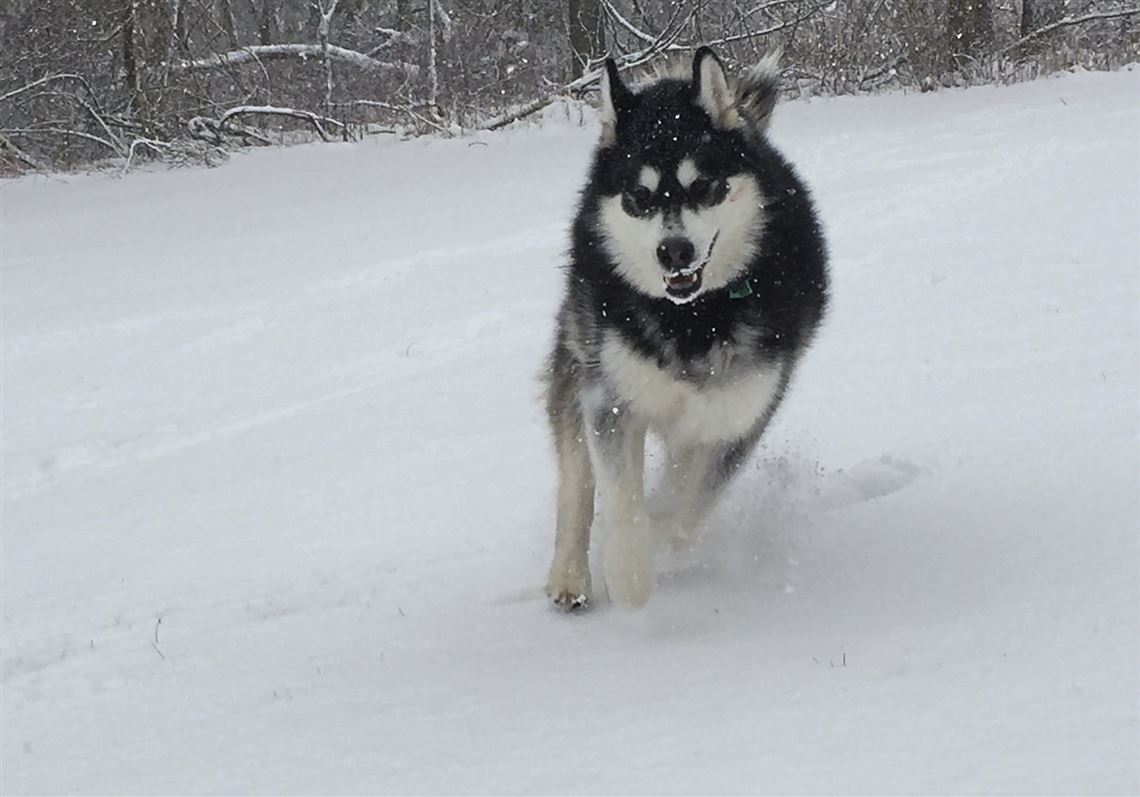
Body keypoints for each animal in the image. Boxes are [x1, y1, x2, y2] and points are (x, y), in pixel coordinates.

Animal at [542, 46, 829, 611]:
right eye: (639, 196)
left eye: (705, 186)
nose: (674, 251)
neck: (693, 317)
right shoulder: (609, 399)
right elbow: (622, 498)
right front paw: (628, 572)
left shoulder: (735, 417)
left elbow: (686, 509)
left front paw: (661, 540)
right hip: (579, 357)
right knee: (576, 482)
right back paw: (570, 575)